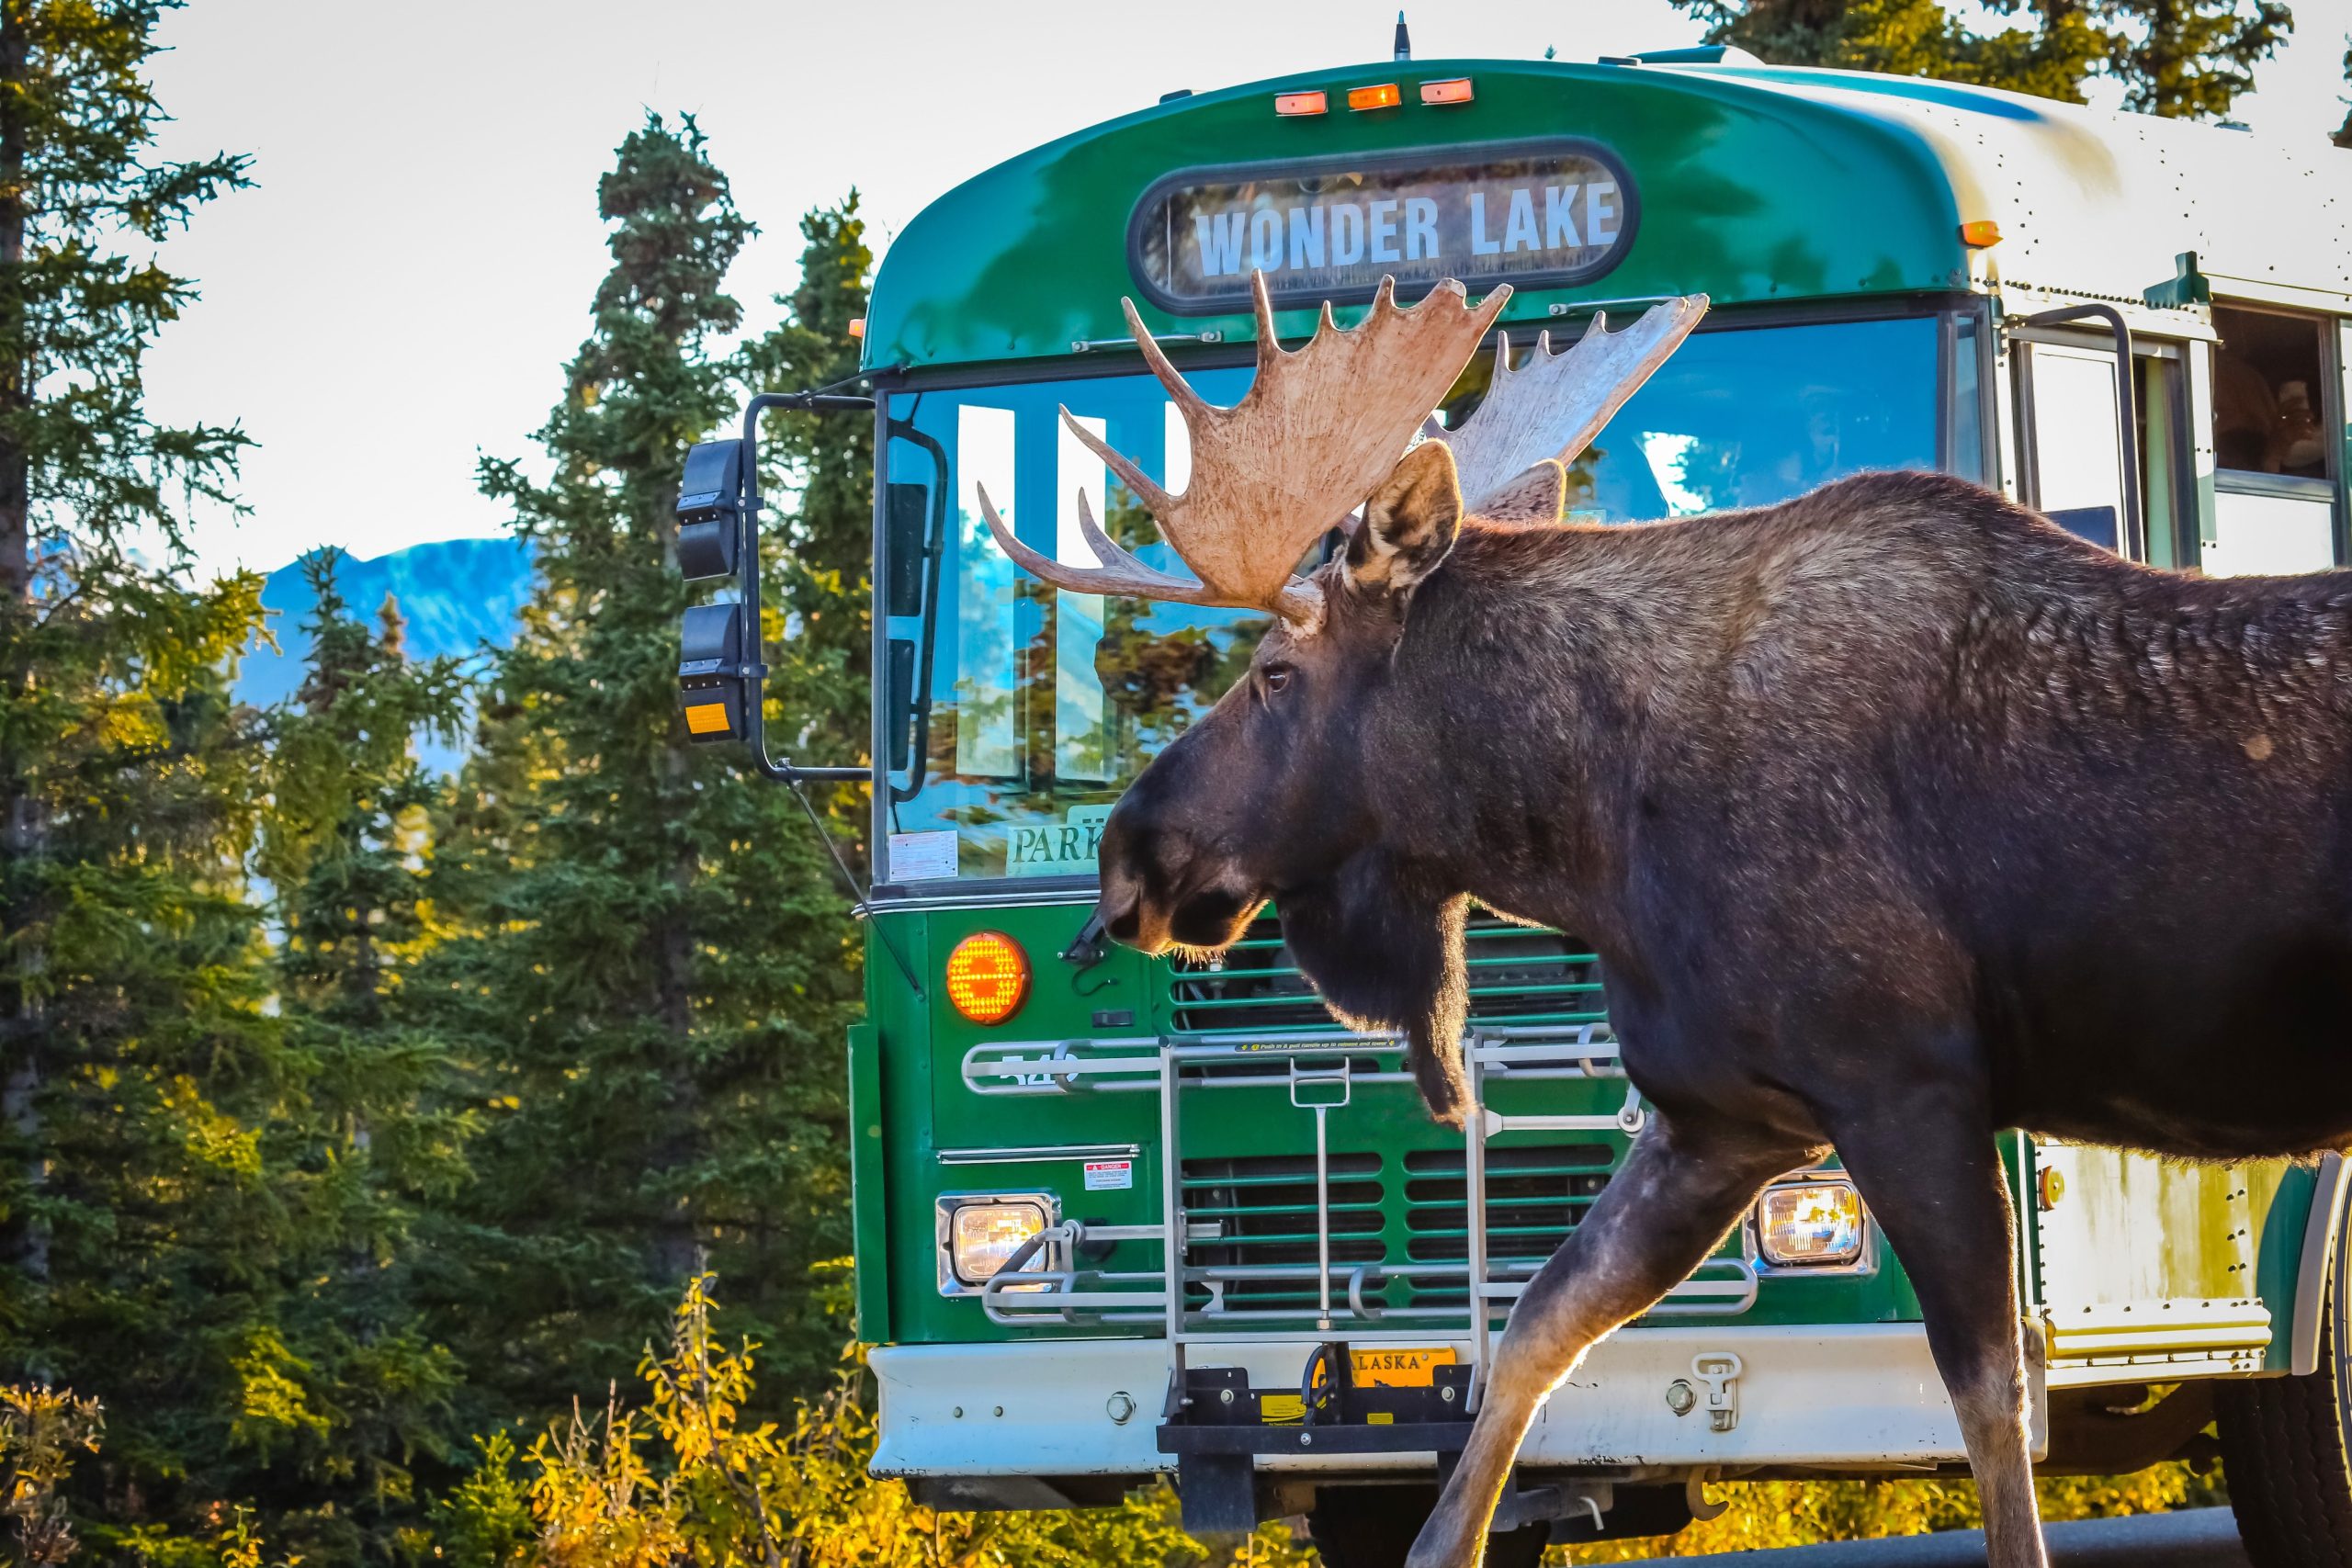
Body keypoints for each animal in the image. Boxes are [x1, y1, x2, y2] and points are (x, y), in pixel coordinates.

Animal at [979, 271, 2352, 1568]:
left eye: (1273, 675)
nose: (1126, 857)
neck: (1590, 832)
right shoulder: (1720, 1116)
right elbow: (1534, 1328)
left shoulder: (1905, 1085)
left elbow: (1990, 1394)